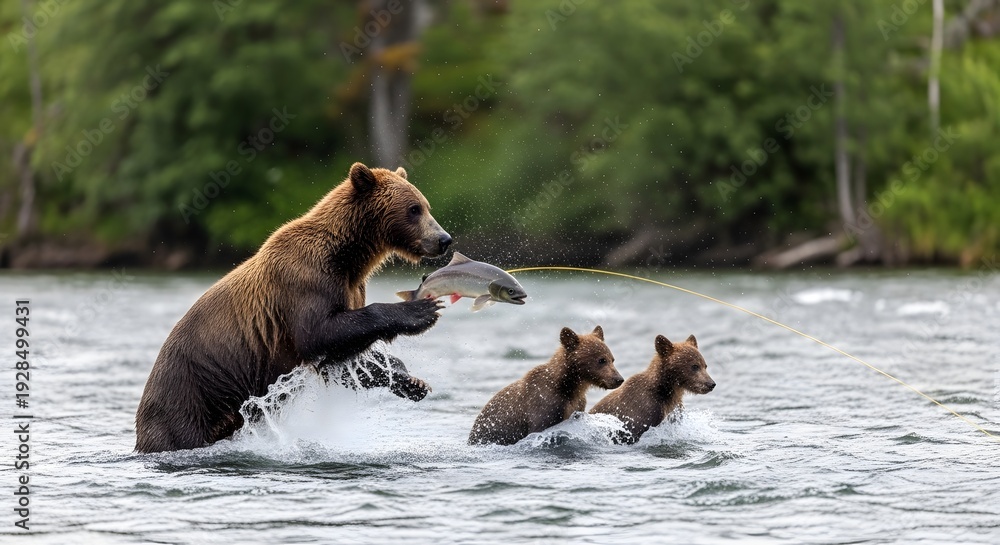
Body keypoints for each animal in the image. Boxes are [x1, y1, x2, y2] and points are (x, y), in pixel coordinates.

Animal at [135, 162, 451, 453]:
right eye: (413, 209)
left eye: (426, 206)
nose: (444, 239)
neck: (348, 257)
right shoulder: (305, 281)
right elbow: (319, 333)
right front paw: (421, 311)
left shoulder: (351, 287)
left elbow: (342, 358)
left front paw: (412, 381)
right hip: (189, 396)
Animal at [468, 325, 625, 446]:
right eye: (601, 360)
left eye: (612, 359)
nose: (619, 379)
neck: (568, 386)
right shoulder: (543, 404)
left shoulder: (576, 404)